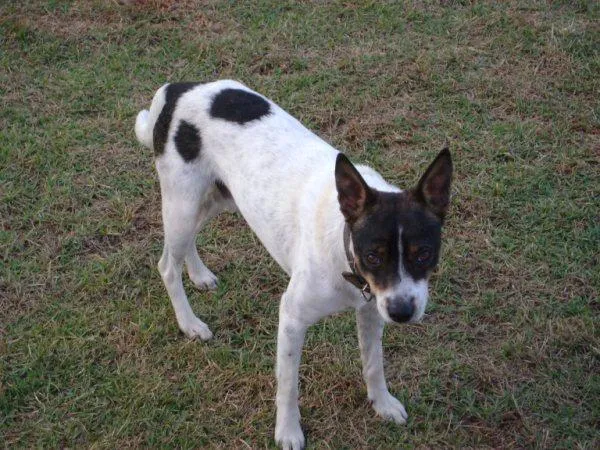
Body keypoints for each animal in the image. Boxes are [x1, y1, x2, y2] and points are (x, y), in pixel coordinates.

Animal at [135, 80, 452, 449]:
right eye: (373, 256)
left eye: (423, 253)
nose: (402, 313)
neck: (343, 245)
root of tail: (178, 88)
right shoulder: (292, 318)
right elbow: (288, 385)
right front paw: (287, 432)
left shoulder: (372, 309)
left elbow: (374, 364)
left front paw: (382, 403)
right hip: (182, 203)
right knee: (166, 265)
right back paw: (189, 323)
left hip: (217, 199)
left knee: (186, 244)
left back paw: (199, 275)